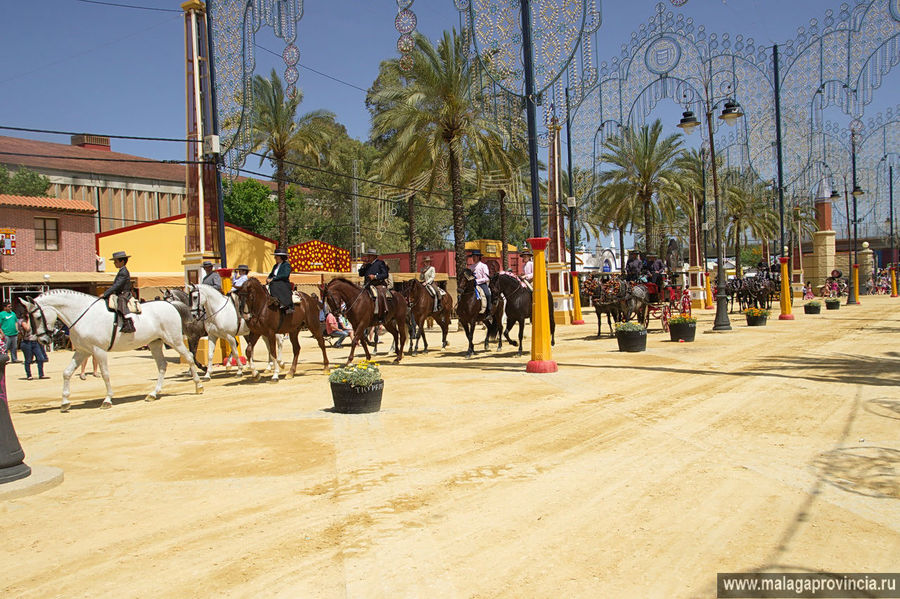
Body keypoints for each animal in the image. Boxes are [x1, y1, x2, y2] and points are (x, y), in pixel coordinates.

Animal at [22, 290, 202, 412]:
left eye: (37, 317)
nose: (43, 341)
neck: (83, 315)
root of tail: (170, 305)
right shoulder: (82, 351)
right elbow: (67, 372)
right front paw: (65, 402)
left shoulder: (98, 350)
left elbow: (105, 374)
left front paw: (107, 399)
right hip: (155, 343)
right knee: (162, 365)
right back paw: (153, 393)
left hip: (174, 340)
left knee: (189, 357)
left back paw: (198, 385)